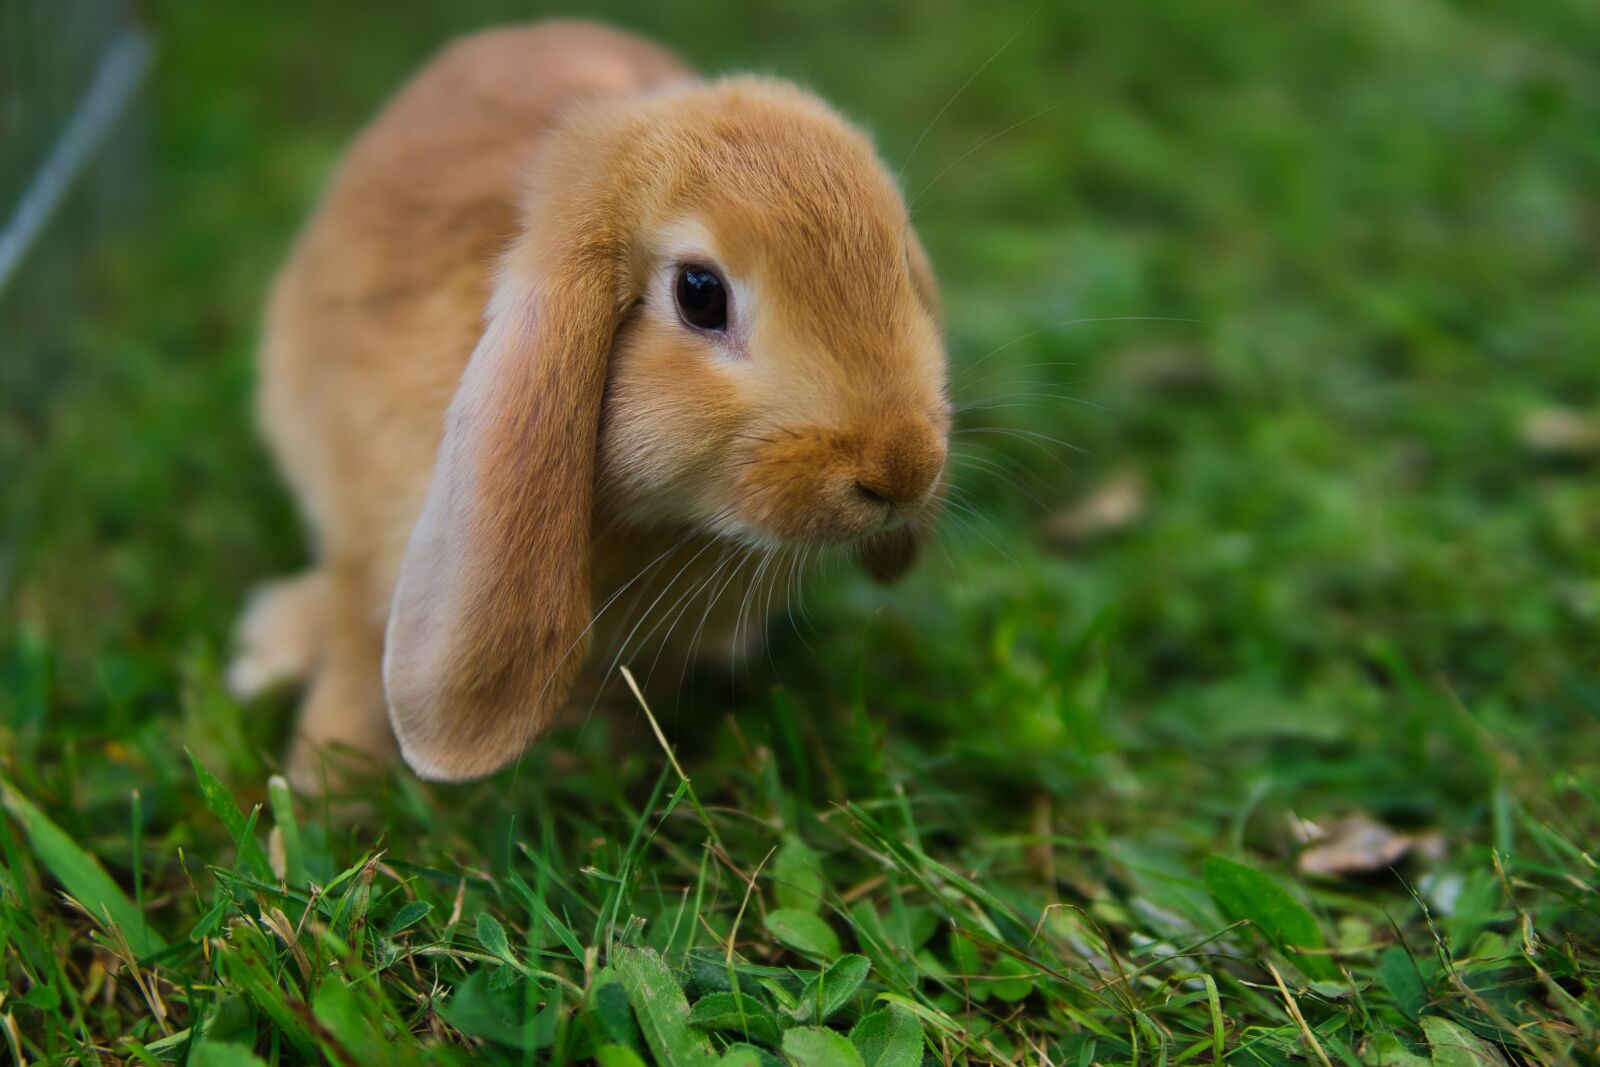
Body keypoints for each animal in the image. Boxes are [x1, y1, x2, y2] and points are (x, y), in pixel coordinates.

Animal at [230, 18, 940, 783]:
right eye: (699, 293)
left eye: (901, 263)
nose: (903, 470)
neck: (670, 529)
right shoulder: (365, 549)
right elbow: (356, 669)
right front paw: (318, 795)